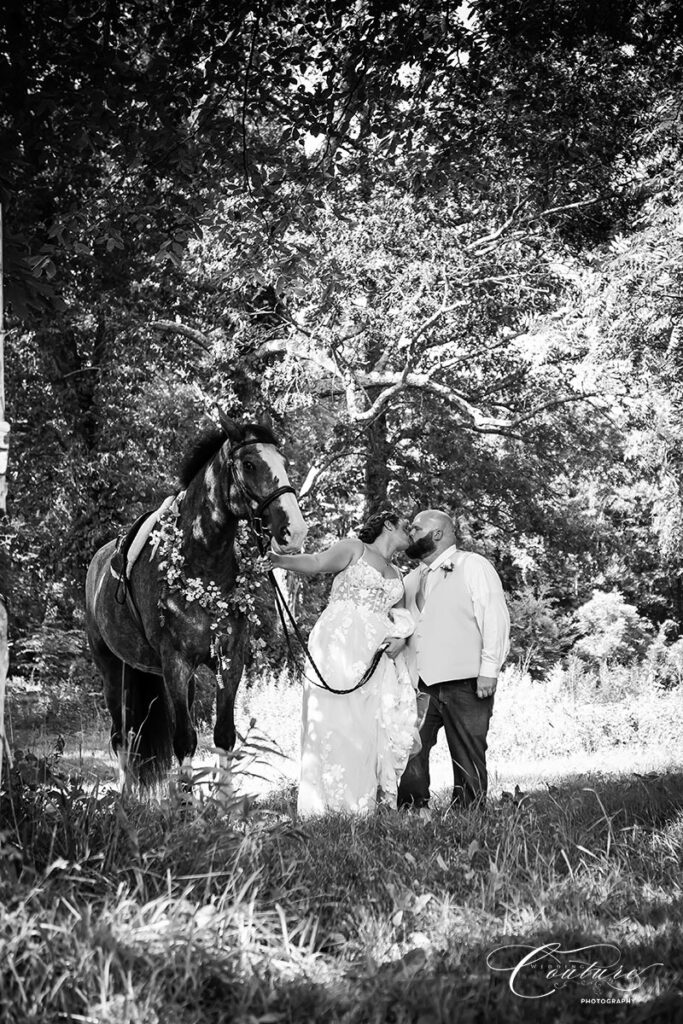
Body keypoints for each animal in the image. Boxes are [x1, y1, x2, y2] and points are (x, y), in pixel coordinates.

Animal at [83, 415, 309, 790]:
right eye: (249, 464)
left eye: (284, 462)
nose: (295, 530)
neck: (202, 561)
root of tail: (99, 561)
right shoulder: (176, 663)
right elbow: (185, 740)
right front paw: (186, 801)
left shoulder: (229, 661)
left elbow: (224, 736)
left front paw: (224, 800)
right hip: (112, 670)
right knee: (120, 736)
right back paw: (124, 795)